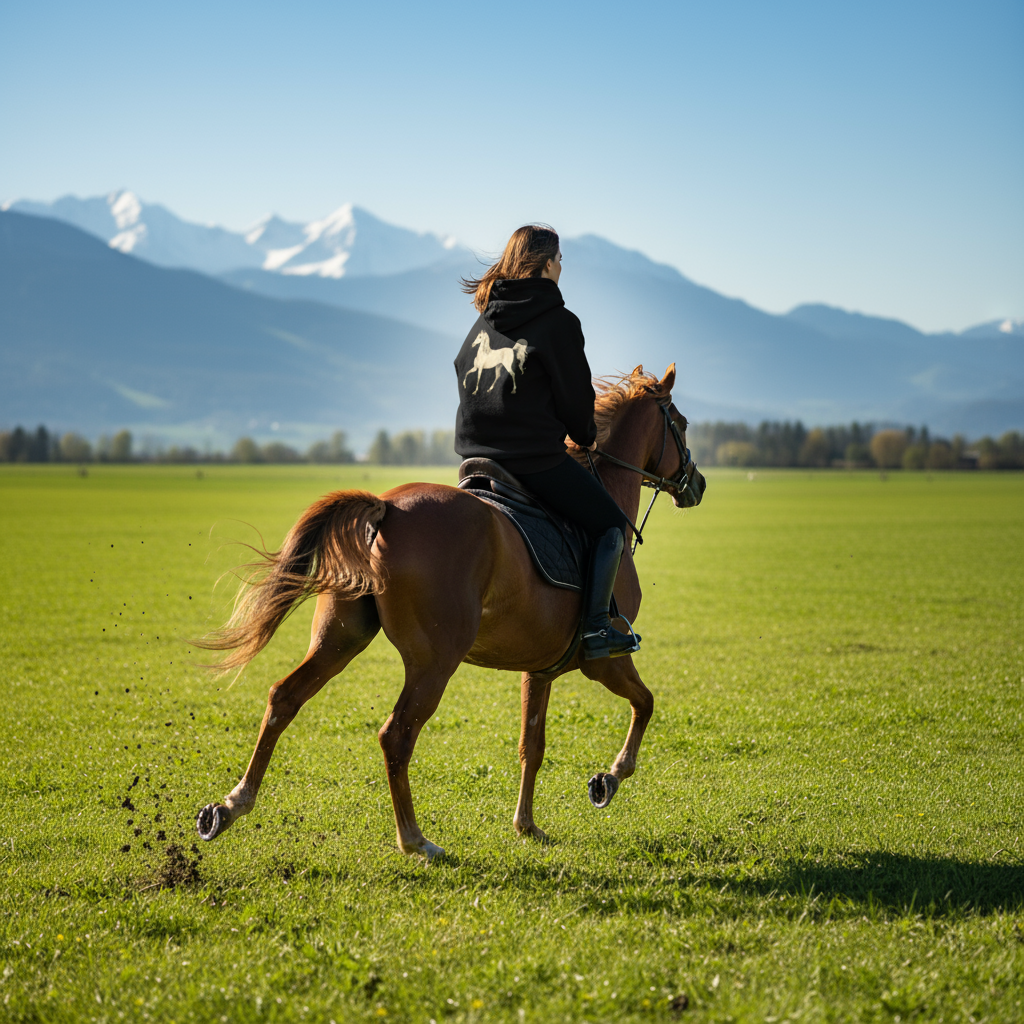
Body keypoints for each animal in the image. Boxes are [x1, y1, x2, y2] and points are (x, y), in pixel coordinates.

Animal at [195, 364, 706, 859]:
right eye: (680, 424)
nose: (697, 483)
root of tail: (386, 507)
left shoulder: (539, 669)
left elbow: (532, 745)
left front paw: (526, 825)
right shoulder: (603, 660)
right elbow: (646, 704)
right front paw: (608, 780)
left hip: (340, 639)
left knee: (284, 698)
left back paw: (230, 806)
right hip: (435, 660)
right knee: (396, 734)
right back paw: (415, 840)